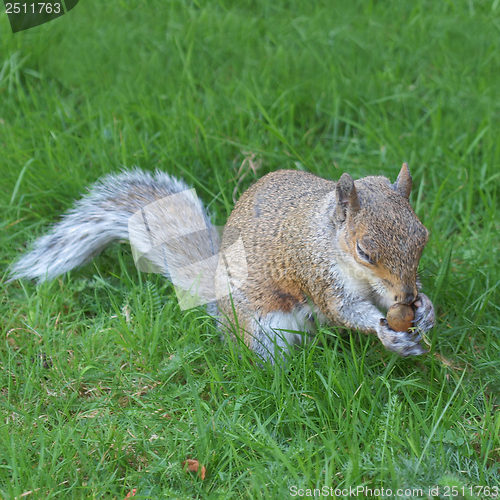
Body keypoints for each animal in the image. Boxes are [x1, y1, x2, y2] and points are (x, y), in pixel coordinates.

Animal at [9, 164, 436, 364]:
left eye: (423, 235)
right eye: (364, 251)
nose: (407, 295)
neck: (329, 237)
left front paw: (426, 309)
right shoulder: (315, 273)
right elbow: (344, 310)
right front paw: (385, 332)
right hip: (262, 329)